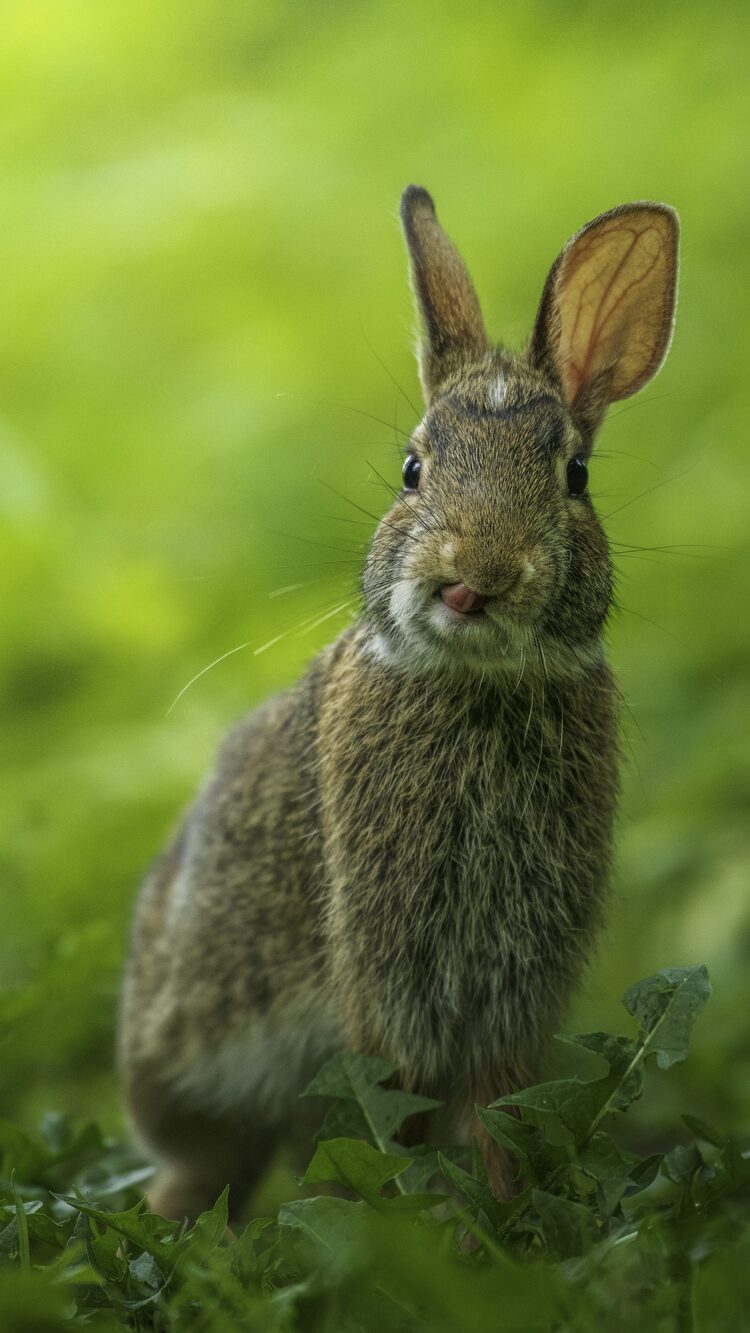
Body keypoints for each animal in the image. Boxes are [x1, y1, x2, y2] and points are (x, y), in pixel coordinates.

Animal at [119, 185, 679, 1220]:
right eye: (413, 469)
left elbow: (497, 1111)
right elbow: (400, 1108)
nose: (474, 577)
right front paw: (409, 1225)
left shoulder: (512, 992)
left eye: (575, 477)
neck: (477, 686)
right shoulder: (390, 980)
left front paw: (499, 1219)